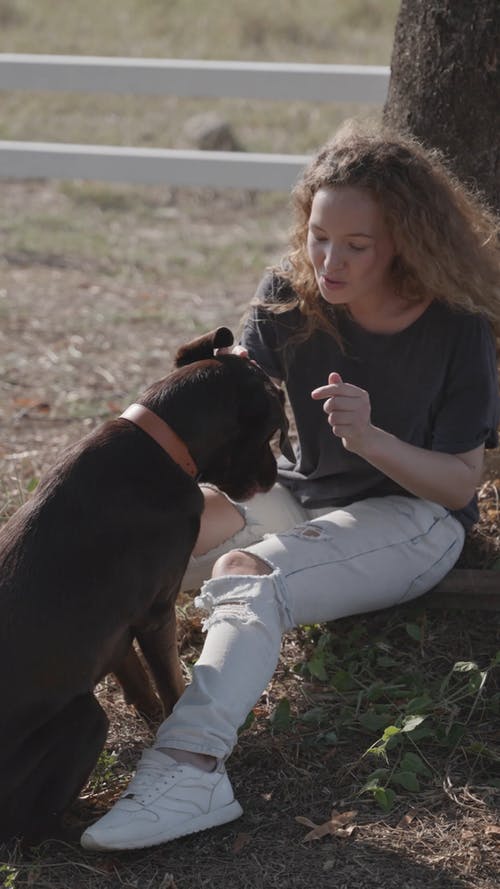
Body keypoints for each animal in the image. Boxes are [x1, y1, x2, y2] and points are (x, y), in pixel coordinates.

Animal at [0, 326, 292, 840]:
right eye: (273, 431)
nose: (272, 476)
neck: (162, 445)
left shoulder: (117, 631)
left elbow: (137, 682)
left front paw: (152, 718)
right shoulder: (158, 612)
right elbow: (173, 684)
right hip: (86, 717)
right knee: (27, 825)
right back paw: (88, 812)